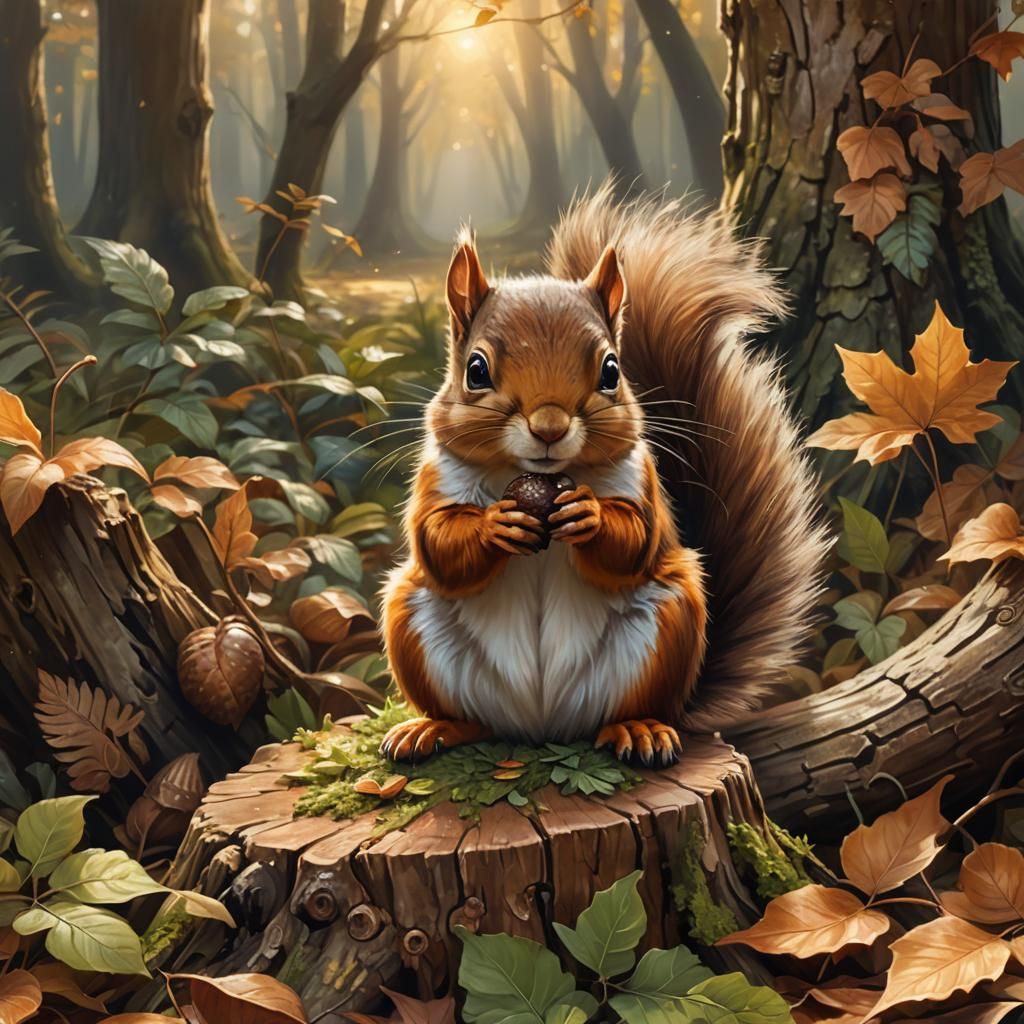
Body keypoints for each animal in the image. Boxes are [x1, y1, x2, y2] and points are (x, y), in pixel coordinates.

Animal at [379, 184, 828, 766]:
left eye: (611, 370)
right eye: (475, 370)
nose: (549, 427)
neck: (538, 474)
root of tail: (540, 727)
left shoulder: (641, 479)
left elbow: (636, 539)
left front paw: (588, 513)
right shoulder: (437, 475)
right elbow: (437, 542)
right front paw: (495, 524)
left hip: (669, 620)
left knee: (637, 705)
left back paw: (639, 728)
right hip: (410, 619)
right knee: (469, 715)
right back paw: (433, 727)